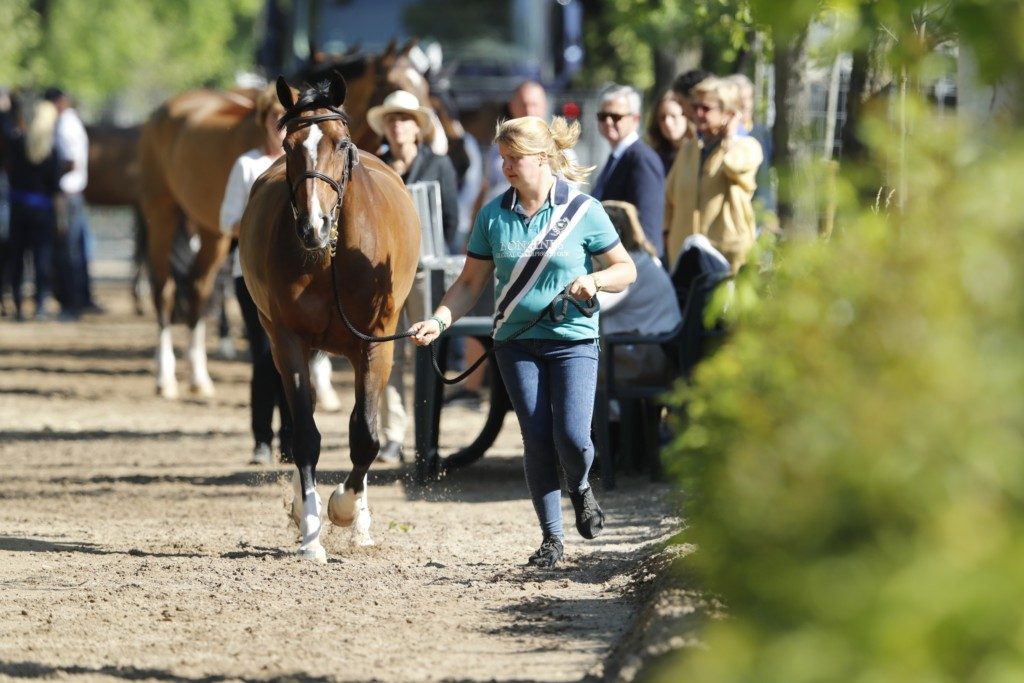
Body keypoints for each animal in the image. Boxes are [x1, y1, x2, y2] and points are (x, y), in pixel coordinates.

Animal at [135, 42, 432, 397]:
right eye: (287, 147)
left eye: (342, 144)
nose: (314, 226)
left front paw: (326, 389)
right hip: (162, 212)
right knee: (164, 289)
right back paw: (166, 377)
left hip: (209, 232)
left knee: (198, 286)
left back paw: (199, 376)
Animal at [237, 73, 417, 561]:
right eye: (288, 144)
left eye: (341, 143)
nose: (312, 226)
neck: (332, 258)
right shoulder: (289, 343)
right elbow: (305, 435)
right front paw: (311, 532)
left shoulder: (374, 346)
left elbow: (366, 436)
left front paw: (343, 510)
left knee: (362, 428)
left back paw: (360, 523)